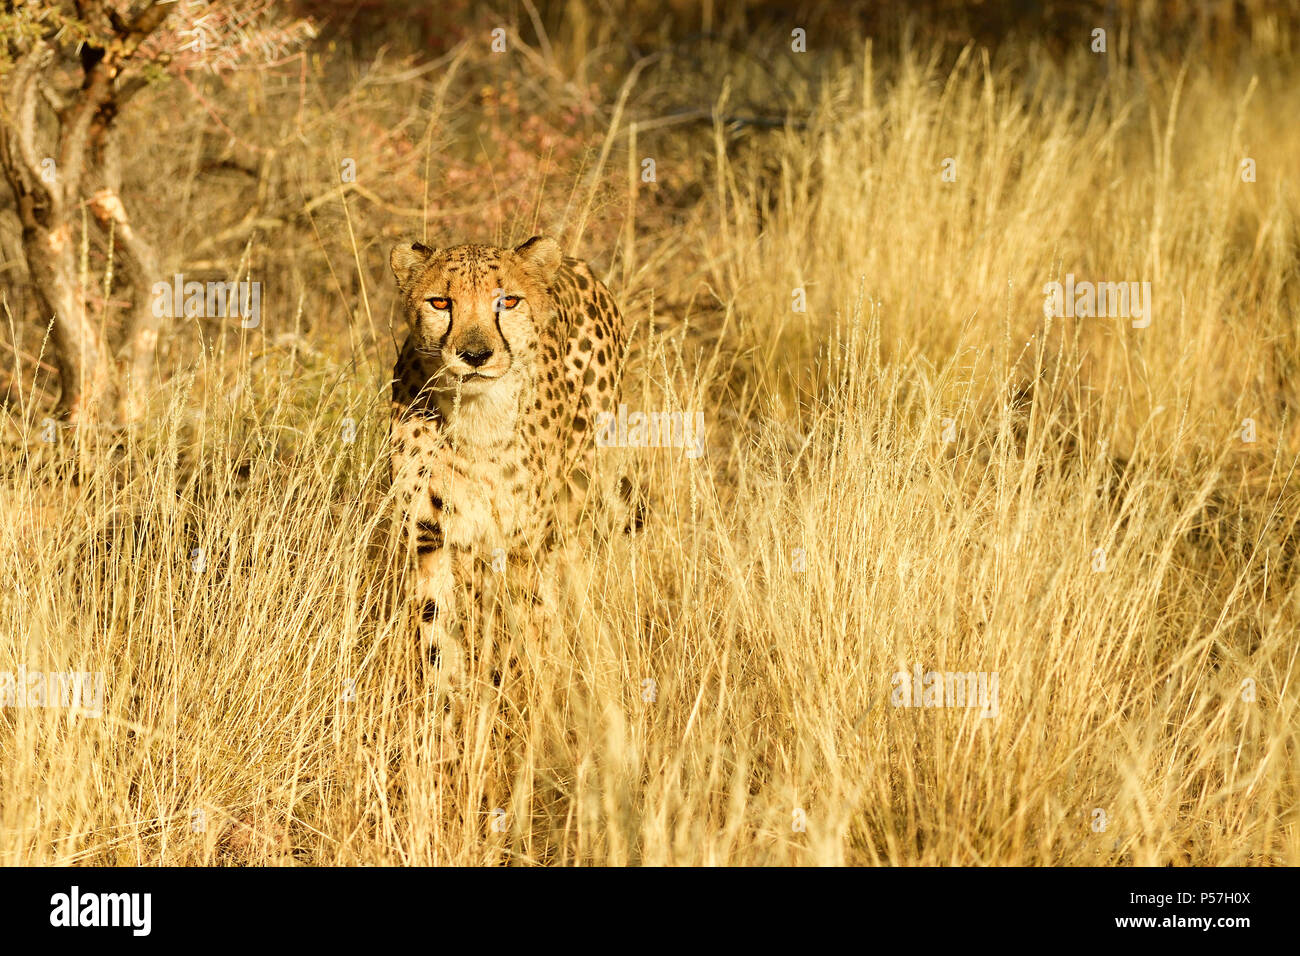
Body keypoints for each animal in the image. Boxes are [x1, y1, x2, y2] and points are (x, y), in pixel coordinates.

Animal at [387, 235, 626, 686]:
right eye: (441, 302)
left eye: (508, 301)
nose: (475, 354)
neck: (476, 419)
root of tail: (575, 263)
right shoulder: (430, 538)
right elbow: (437, 633)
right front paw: (447, 700)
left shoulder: (521, 543)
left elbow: (520, 629)